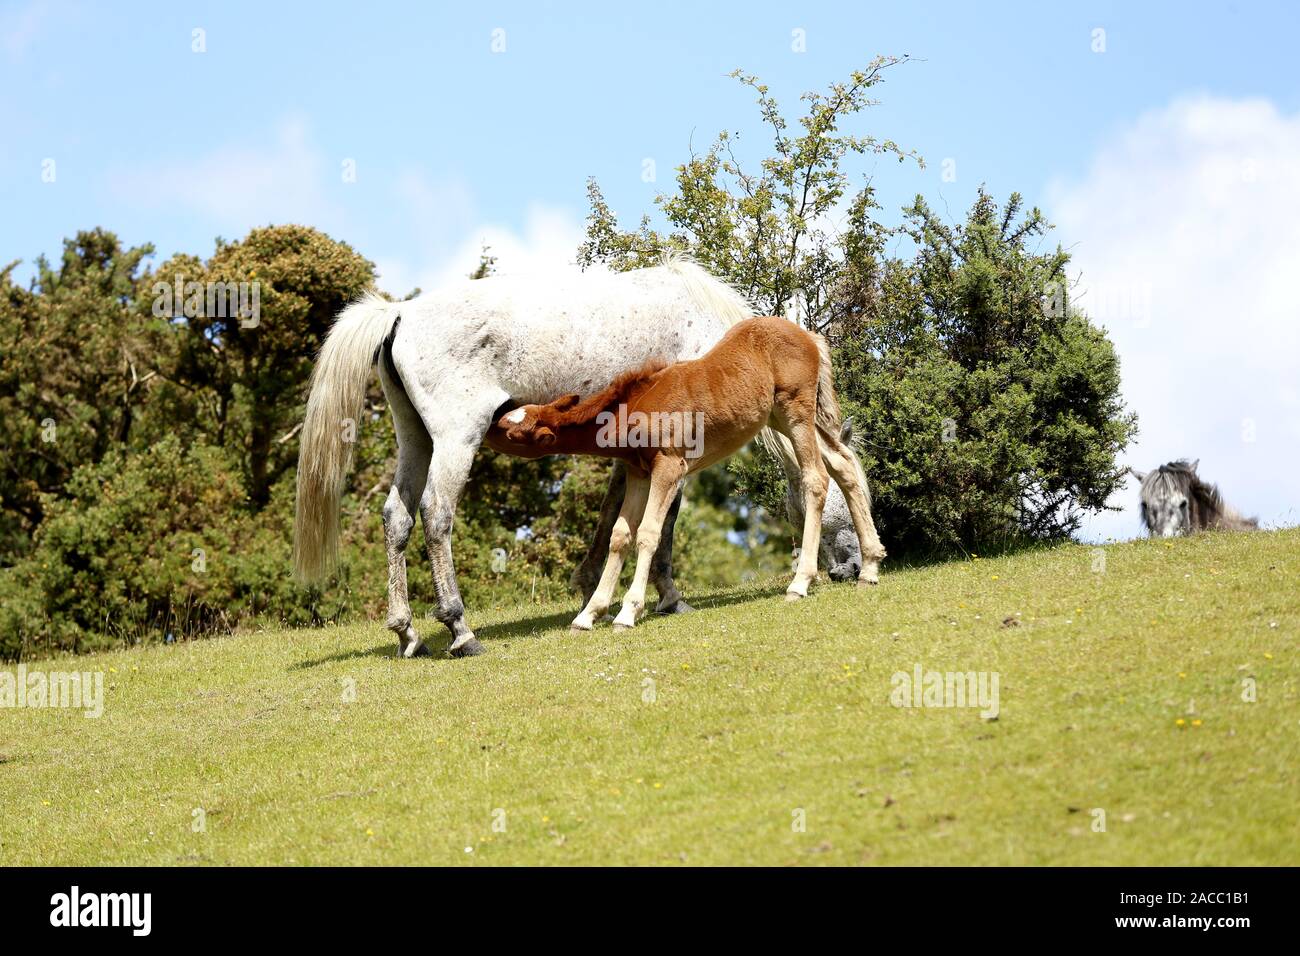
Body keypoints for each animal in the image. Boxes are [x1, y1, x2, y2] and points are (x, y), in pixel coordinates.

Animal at [491, 315, 887, 631]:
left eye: (513, 431)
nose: (492, 419)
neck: (635, 407)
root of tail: (810, 337)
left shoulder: (669, 466)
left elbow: (648, 534)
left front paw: (626, 613)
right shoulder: (638, 472)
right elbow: (620, 535)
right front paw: (589, 615)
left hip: (796, 412)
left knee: (816, 478)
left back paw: (800, 583)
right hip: (780, 417)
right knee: (844, 464)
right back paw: (869, 568)